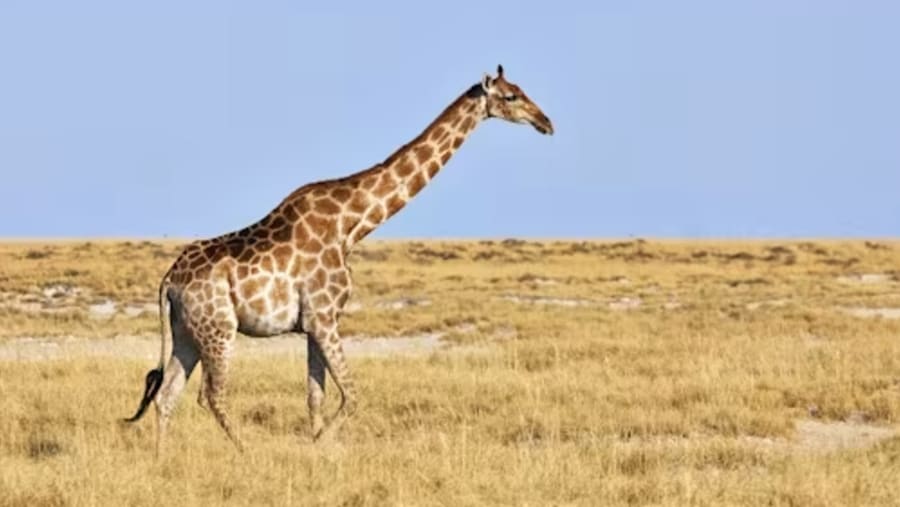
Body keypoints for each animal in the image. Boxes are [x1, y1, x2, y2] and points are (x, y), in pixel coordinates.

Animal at [123, 64, 554, 453]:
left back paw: (162, 460)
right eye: (510, 96)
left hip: (186, 331)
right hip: (219, 329)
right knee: (210, 395)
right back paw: (247, 453)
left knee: (166, 396)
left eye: (521, 90)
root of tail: (169, 280)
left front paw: (320, 450)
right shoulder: (325, 316)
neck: (352, 223)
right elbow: (353, 395)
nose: (546, 122)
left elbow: (316, 397)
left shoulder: (315, 323)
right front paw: (319, 447)